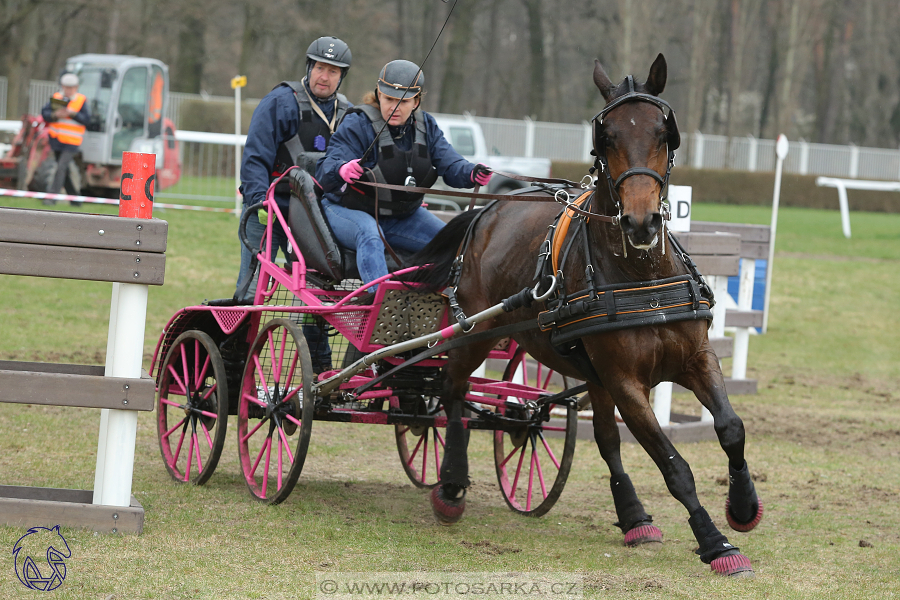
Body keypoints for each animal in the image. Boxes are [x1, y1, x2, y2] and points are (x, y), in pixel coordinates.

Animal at [412, 56, 764, 576]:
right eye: (607, 137)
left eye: (664, 132)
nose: (640, 222)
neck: (640, 277)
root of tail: (488, 211)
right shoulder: (624, 380)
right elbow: (674, 465)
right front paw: (714, 542)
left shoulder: (694, 359)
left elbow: (730, 428)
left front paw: (741, 506)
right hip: (475, 332)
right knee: (452, 390)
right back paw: (452, 482)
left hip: (590, 373)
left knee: (604, 438)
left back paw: (634, 517)